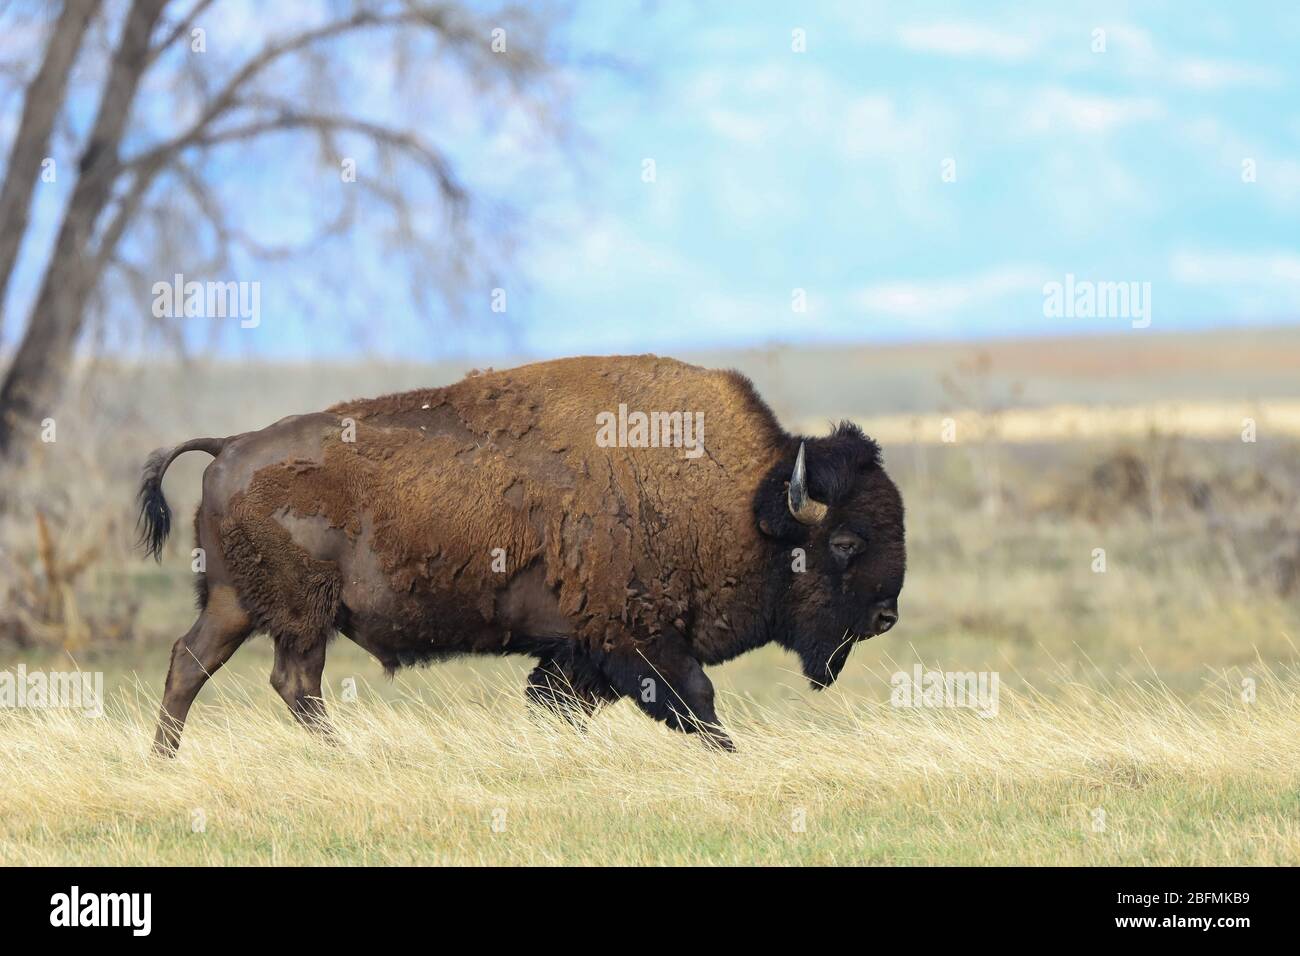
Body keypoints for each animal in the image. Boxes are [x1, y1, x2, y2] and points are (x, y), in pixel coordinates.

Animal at [137, 356, 899, 759]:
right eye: (845, 542)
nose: (886, 615)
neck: (743, 500)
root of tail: (231, 445)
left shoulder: (581, 651)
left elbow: (559, 702)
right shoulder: (639, 639)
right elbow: (697, 699)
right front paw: (731, 755)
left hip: (236, 603)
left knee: (191, 662)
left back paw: (166, 759)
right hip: (299, 612)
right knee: (293, 681)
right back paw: (338, 755)